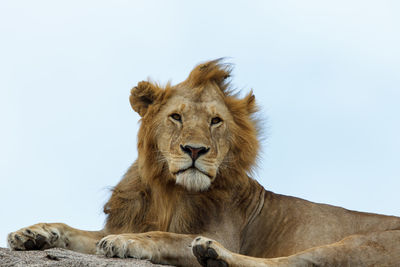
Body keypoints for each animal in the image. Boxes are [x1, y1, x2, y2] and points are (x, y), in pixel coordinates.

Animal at [7, 59, 400, 266]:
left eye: (215, 121)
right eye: (176, 117)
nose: (195, 150)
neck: (169, 192)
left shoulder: (224, 231)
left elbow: (165, 236)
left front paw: (128, 241)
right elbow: (76, 231)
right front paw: (34, 233)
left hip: (361, 243)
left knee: (286, 263)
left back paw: (213, 254)